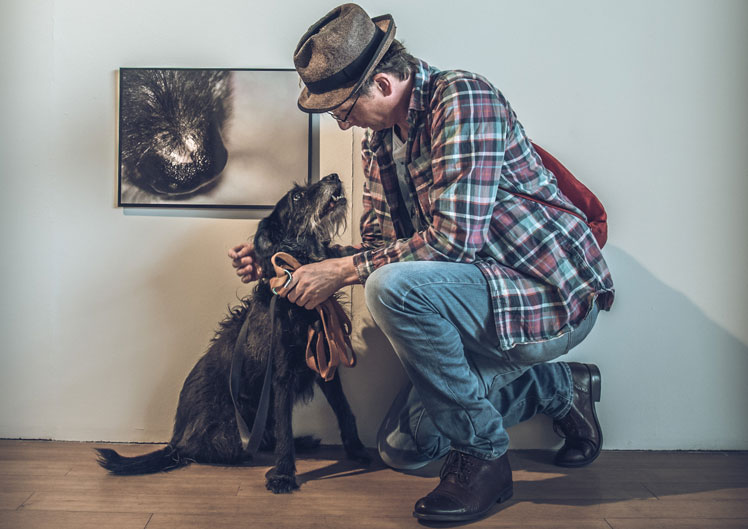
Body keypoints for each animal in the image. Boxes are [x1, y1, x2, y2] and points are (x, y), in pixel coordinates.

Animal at [96, 173, 372, 490]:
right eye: (297, 197)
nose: (334, 177)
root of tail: (175, 442)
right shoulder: (281, 375)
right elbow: (285, 427)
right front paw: (284, 475)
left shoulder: (324, 361)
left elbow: (344, 409)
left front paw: (357, 450)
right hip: (229, 429)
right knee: (220, 449)